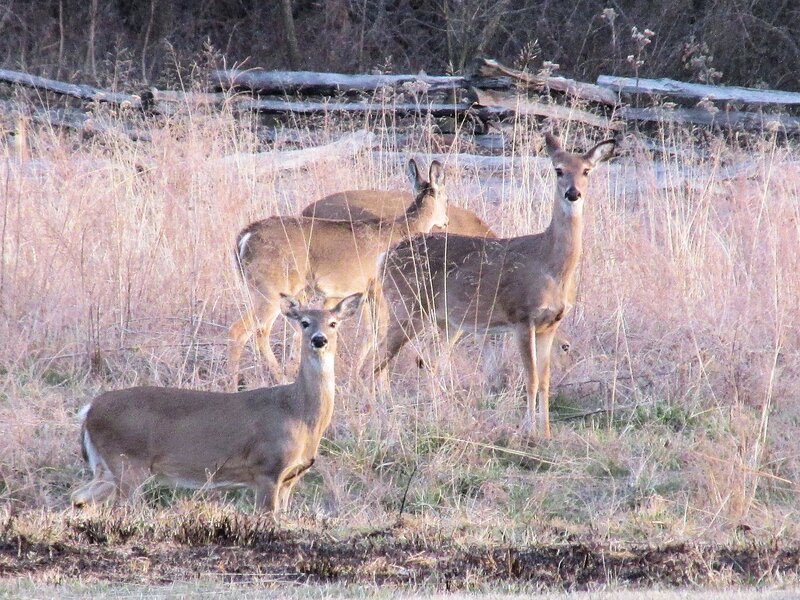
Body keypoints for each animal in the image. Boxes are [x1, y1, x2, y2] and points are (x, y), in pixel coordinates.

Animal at [71, 293, 362, 513]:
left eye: (333, 323)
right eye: (304, 322)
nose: (319, 339)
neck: (299, 413)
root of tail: (90, 409)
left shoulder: (290, 478)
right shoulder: (267, 468)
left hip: (107, 467)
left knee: (79, 497)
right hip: (127, 461)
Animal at [229, 159, 448, 390]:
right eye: (447, 199)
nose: (446, 221)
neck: (403, 231)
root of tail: (244, 238)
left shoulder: (364, 292)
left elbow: (369, 334)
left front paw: (357, 378)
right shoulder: (378, 287)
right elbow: (381, 333)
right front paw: (382, 387)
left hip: (266, 291)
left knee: (259, 332)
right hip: (270, 290)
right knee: (243, 331)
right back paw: (242, 383)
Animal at [374, 133, 615, 438]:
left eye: (586, 171)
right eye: (558, 169)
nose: (573, 194)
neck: (550, 266)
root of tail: (385, 257)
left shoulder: (550, 324)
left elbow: (546, 380)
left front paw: (547, 433)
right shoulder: (522, 316)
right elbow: (530, 379)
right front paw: (529, 433)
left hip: (444, 322)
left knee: (427, 364)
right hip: (406, 307)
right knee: (373, 361)